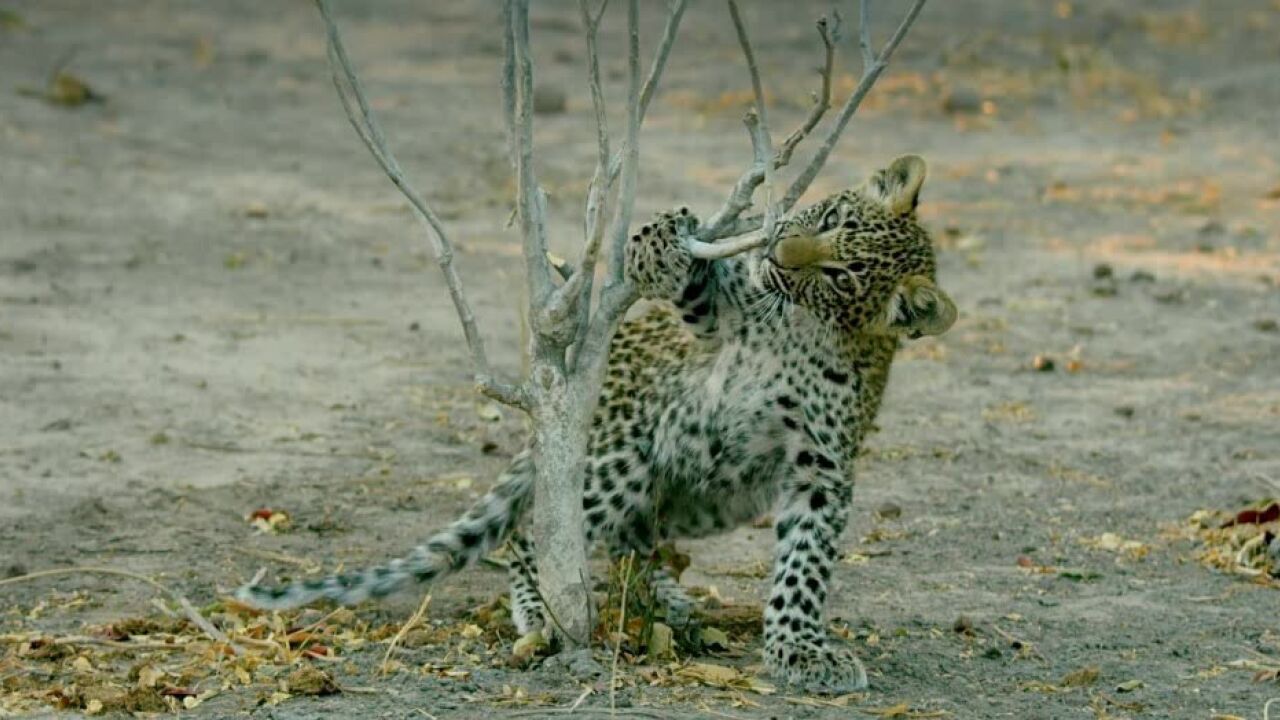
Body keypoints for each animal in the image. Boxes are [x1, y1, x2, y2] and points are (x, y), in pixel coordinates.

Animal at [238, 154, 962, 691]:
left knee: (620, 539)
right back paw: (546, 613)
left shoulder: (819, 466)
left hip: (710, 493)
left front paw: (801, 650)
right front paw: (663, 242)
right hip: (620, 456)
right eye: (829, 214)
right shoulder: (720, 328)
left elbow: (803, 568)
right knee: (534, 534)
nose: (779, 251)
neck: (803, 331)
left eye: (841, 273)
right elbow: (701, 293)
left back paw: (658, 600)